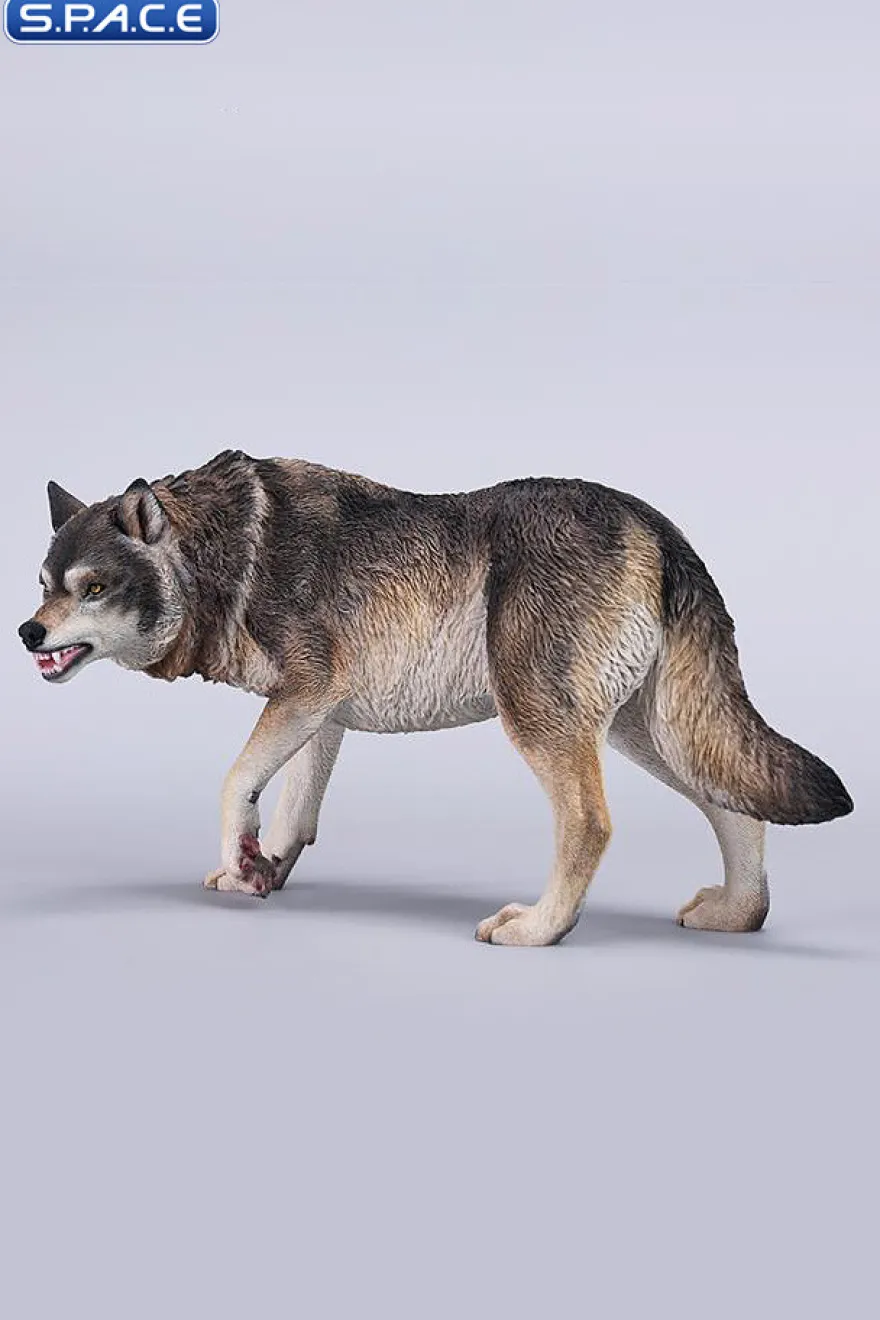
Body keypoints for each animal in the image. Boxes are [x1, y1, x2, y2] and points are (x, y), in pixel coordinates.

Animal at [19, 450, 852, 944]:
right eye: (44, 583)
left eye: (93, 589)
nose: (28, 632)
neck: (224, 557)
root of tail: (658, 525)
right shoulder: (322, 712)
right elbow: (291, 809)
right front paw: (261, 872)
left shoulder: (305, 694)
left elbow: (233, 785)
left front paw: (240, 853)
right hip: (646, 732)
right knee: (737, 809)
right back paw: (739, 916)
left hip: (546, 724)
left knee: (590, 825)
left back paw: (539, 929)